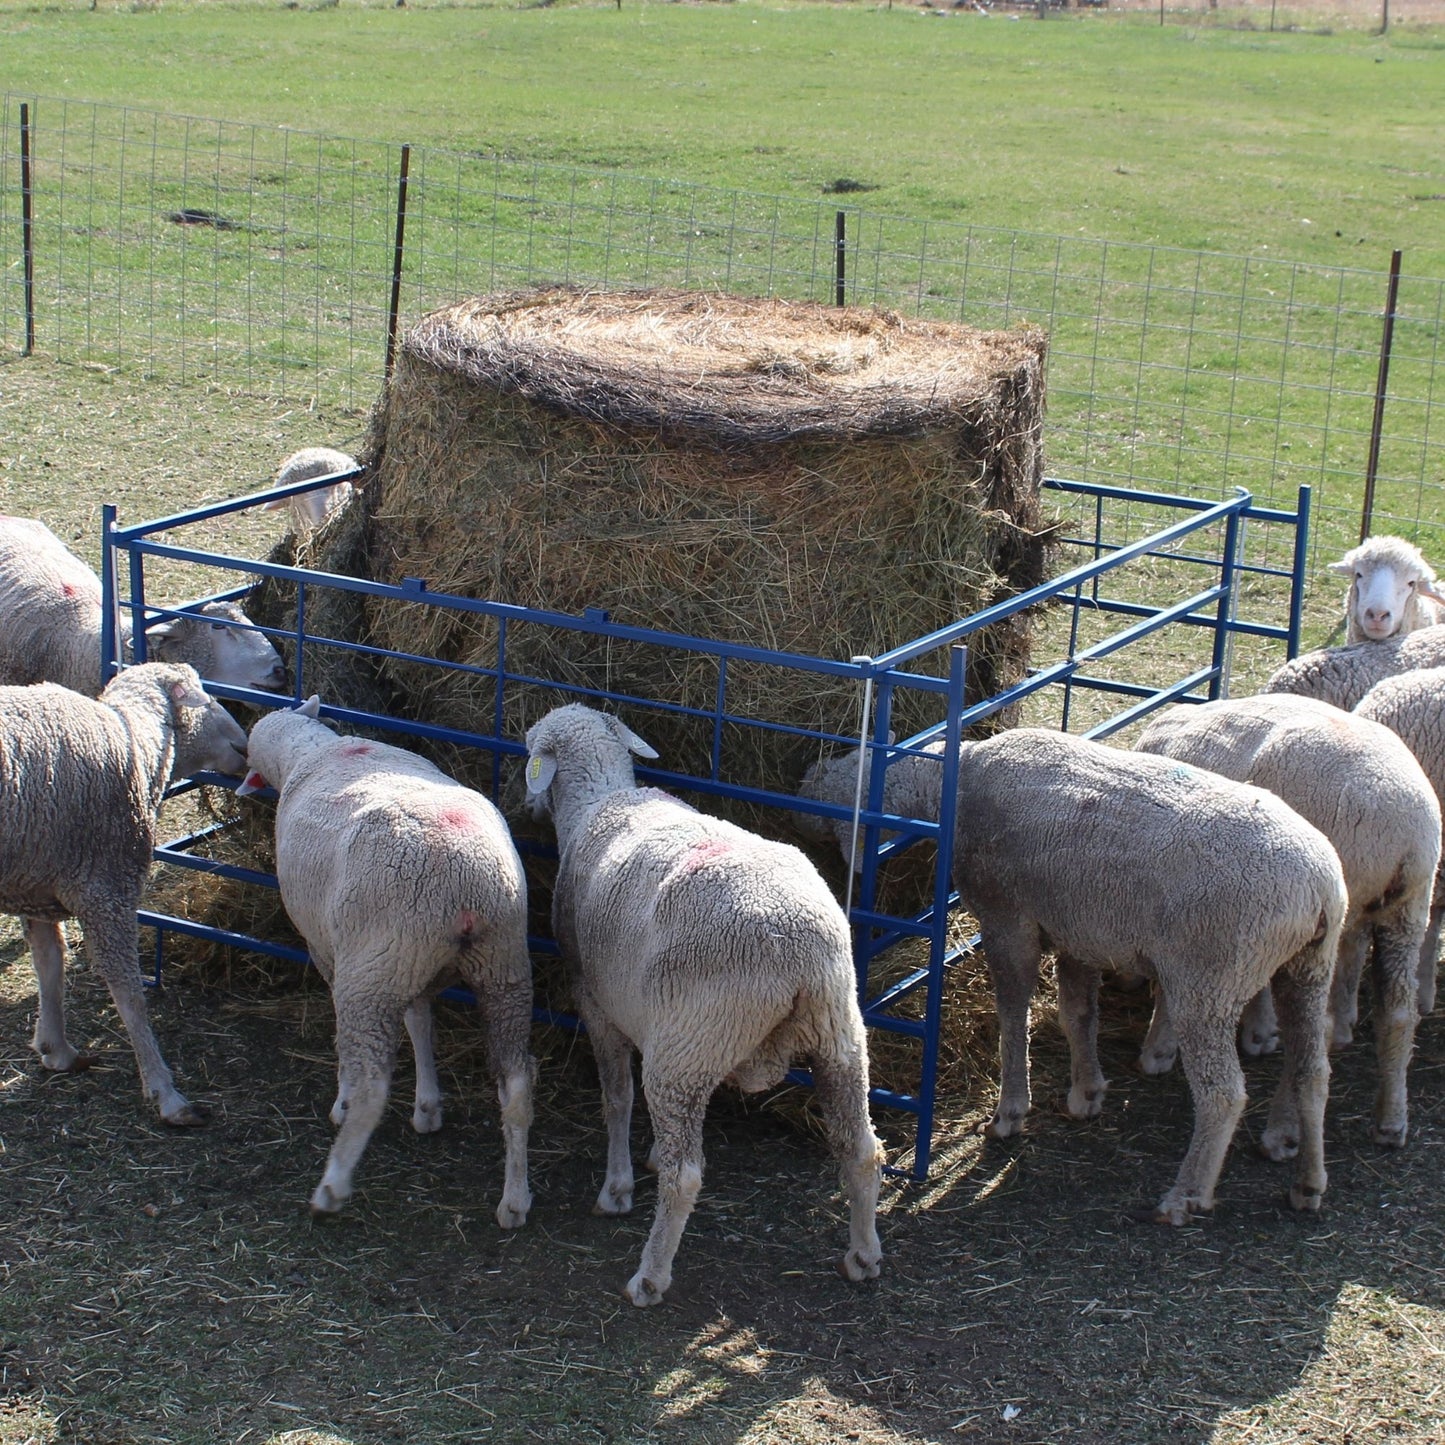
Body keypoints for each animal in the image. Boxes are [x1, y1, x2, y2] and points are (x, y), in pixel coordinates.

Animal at [1, 662, 249, 1125]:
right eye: (205, 698)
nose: (245, 744)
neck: (136, 741)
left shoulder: (37, 880)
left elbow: (50, 963)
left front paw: (56, 1049)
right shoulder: (107, 889)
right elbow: (129, 994)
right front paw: (166, 1092)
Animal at [236, 698, 535, 1227]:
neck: (309, 751)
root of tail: (466, 884)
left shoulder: (331, 950)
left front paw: (345, 1098)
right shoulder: (406, 964)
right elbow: (420, 1021)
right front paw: (428, 1106)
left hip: (372, 974)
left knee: (373, 1083)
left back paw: (333, 1182)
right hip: (499, 964)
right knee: (517, 1084)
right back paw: (516, 1199)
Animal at [523, 703, 883, 1306]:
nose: (525, 805)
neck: (598, 800)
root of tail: (800, 952)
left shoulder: (596, 1002)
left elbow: (617, 1098)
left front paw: (617, 1185)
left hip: (687, 1048)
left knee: (685, 1174)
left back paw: (650, 1275)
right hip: (835, 1037)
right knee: (860, 1149)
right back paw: (863, 1255)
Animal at [950, 727, 1345, 1223]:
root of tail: (1319, 888)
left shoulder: (1007, 920)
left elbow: (1012, 1017)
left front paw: (1008, 1113)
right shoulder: (1078, 930)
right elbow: (1077, 1014)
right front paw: (1086, 1092)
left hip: (1212, 978)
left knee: (1223, 1094)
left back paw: (1186, 1194)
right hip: (1309, 967)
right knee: (1313, 1071)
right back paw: (1308, 1182)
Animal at [1134, 694, 1440, 1148]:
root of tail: (1403, 830)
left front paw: (1161, 1048)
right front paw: (1260, 1030)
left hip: (1338, 906)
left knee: (1315, 1037)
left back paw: (1283, 1129)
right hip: (1409, 908)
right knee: (1398, 1013)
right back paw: (1391, 1119)